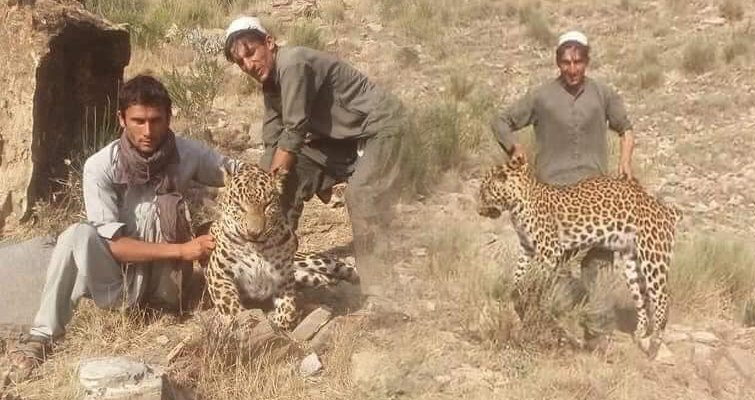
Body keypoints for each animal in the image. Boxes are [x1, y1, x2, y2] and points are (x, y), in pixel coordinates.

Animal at [205, 163, 359, 331]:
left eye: (267, 205)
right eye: (239, 206)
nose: (254, 233)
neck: (256, 248)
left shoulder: (283, 276)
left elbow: (288, 312)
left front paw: (275, 318)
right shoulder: (218, 274)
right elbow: (233, 309)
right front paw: (247, 321)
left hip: (314, 262)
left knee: (347, 269)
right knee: (329, 279)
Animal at [477, 157, 682, 356]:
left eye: (485, 189)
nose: (479, 209)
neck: (516, 204)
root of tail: (666, 210)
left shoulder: (549, 250)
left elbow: (537, 282)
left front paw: (533, 303)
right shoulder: (527, 248)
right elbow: (518, 275)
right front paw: (511, 295)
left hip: (653, 256)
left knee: (663, 298)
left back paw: (655, 343)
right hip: (633, 263)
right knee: (643, 299)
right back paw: (640, 335)